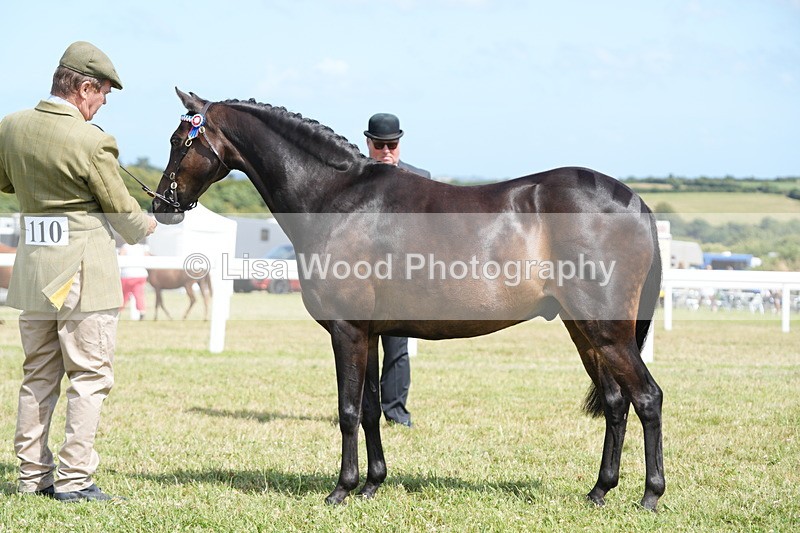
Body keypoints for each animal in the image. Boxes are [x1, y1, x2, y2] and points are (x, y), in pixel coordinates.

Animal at [151, 89, 665, 511]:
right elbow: (371, 408)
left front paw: (341, 489)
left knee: (647, 397)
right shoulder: (371, 332)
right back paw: (599, 490)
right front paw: (372, 484)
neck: (338, 198)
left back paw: (650, 496)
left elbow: (348, 410)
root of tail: (635, 203)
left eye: (180, 141)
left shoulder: (347, 330)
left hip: (607, 330)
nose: (160, 205)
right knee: (616, 403)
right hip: (584, 330)